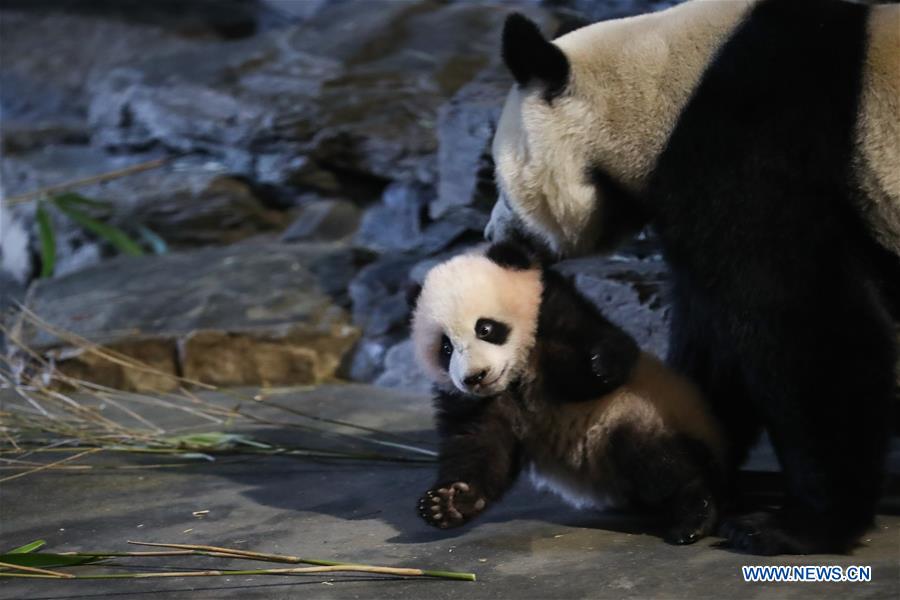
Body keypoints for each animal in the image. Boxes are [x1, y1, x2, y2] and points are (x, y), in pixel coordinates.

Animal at [486, 0, 900, 556]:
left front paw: (797, 525)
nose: (493, 239)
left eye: (501, 184)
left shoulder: (752, 144)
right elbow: (713, 334)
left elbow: (803, 318)